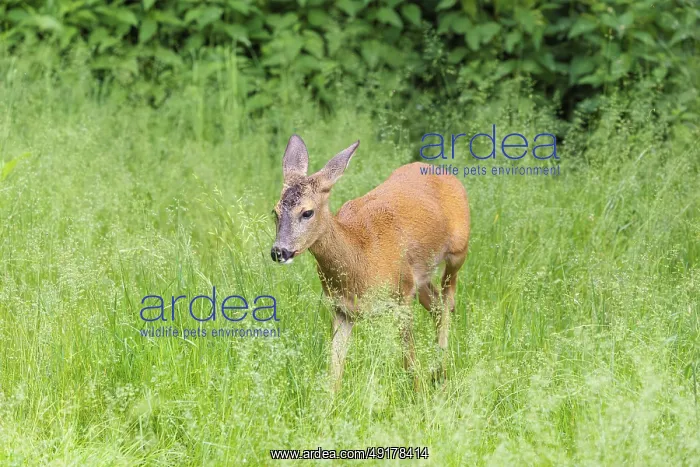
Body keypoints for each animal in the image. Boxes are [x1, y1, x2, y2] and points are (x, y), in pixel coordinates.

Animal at [270, 134, 470, 392]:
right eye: (275, 212)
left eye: (307, 212)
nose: (279, 251)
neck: (361, 259)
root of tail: (445, 173)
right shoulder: (341, 308)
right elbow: (334, 369)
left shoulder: (401, 295)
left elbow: (409, 359)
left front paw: (419, 394)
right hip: (420, 274)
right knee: (436, 303)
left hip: (457, 251)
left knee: (448, 302)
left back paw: (441, 372)